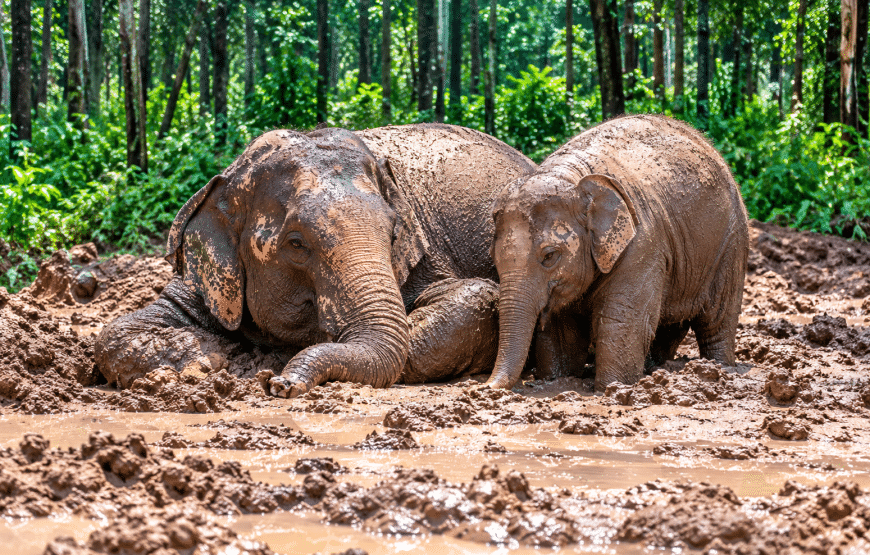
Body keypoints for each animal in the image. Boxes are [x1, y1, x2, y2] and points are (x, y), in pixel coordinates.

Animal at [95, 124, 536, 397]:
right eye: (296, 243)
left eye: (394, 234)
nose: (283, 385)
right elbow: (113, 334)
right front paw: (211, 357)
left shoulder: (427, 256)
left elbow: (475, 295)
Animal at [486, 114, 749, 392]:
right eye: (494, 257)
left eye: (549, 256)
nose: (483, 387)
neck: (573, 178)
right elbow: (562, 331)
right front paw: (557, 379)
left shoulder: (642, 244)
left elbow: (622, 320)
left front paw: (611, 388)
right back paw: (658, 368)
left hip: (732, 242)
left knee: (717, 319)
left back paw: (718, 368)